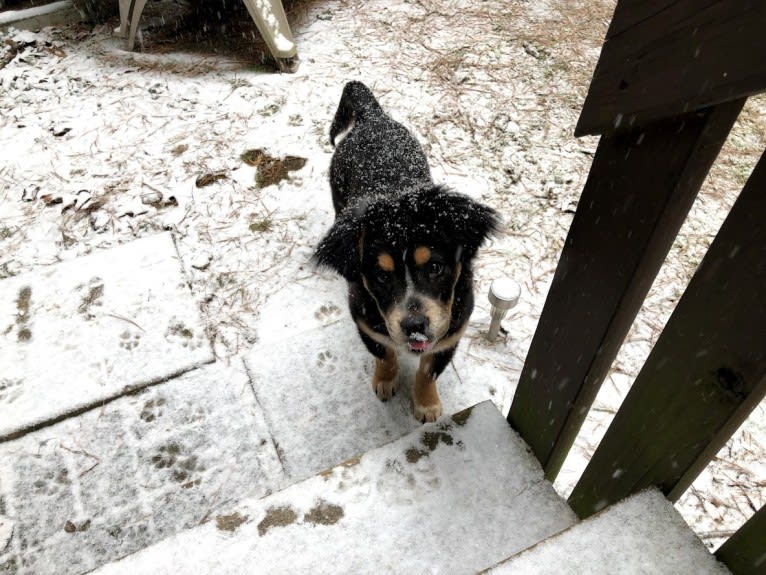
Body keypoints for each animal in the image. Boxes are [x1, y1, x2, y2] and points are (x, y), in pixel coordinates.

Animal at [316, 81, 500, 424]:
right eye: (380, 276)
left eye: (435, 268)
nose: (415, 327)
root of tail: (372, 117)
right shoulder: (366, 322)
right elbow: (384, 353)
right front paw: (385, 381)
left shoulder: (452, 332)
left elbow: (429, 371)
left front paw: (426, 405)